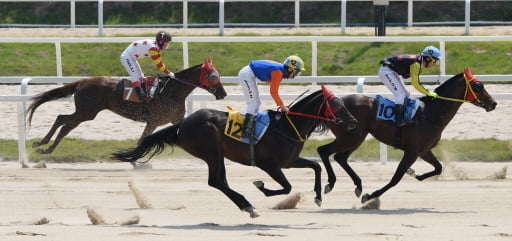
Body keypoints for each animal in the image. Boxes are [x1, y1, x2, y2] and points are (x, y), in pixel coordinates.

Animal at [27, 57, 227, 157]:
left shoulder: (175, 119)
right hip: (87, 111)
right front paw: (134, 160)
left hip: (85, 112)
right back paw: (42, 145)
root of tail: (82, 81)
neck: (172, 91)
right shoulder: (154, 120)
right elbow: (142, 140)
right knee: (62, 120)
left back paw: (45, 147)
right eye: (213, 76)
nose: (223, 93)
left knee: (65, 124)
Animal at [114, 85, 358, 217]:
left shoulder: (289, 161)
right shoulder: (269, 164)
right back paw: (248, 205)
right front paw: (261, 187)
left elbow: (315, 166)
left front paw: (319, 195)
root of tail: (183, 124)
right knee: (217, 181)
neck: (288, 126)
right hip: (212, 151)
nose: (354, 121)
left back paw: (246, 205)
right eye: (336, 105)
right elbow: (287, 187)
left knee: (218, 181)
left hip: (214, 154)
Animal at [318, 67, 498, 204]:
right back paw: (331, 184)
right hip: (351, 137)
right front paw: (371, 195)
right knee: (324, 151)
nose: (493, 103)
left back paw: (357, 185)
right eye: (477, 85)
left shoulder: (424, 150)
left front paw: (415, 173)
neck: (431, 114)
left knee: (340, 157)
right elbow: (396, 178)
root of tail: (332, 104)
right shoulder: (412, 151)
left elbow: (438, 168)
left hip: (355, 138)